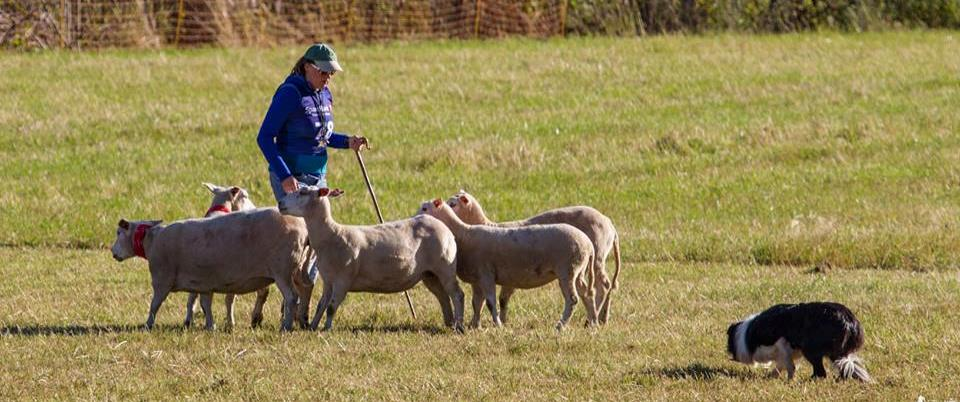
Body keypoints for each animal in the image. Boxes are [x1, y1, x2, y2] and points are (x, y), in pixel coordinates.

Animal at [110, 207, 312, 330]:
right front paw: (210, 326)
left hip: (283, 269)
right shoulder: (203, 282)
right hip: (297, 268)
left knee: (291, 297)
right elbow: (205, 304)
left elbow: (154, 304)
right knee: (306, 289)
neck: (150, 241)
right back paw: (302, 320)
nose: (113, 252)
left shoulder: (162, 279)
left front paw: (148, 325)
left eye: (119, 233)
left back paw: (286, 326)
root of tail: (304, 229)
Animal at [278, 187, 464, 332]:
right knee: (443, 296)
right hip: (429, 274)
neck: (331, 235)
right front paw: (313, 327)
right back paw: (449, 322)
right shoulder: (328, 280)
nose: (280, 203)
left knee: (457, 294)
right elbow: (321, 305)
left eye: (303, 191)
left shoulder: (343, 279)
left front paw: (327, 329)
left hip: (445, 267)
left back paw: (459, 326)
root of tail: (444, 228)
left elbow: (331, 307)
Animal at [418, 199, 596, 330]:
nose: (415, 218)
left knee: (572, 299)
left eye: (425, 208)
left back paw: (560, 326)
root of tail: (588, 244)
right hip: (578, 271)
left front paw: (497, 325)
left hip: (567, 270)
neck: (464, 234)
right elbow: (476, 303)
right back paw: (592, 323)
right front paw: (475, 325)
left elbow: (490, 302)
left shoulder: (486, 274)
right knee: (587, 294)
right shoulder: (477, 279)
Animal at [444, 190, 624, 326]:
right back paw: (601, 318)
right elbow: (493, 300)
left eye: (453, 204)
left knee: (603, 285)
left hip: (597, 254)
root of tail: (610, 224)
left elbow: (500, 299)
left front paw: (500, 321)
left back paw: (594, 317)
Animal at [728, 304, 872, 382]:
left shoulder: (782, 345)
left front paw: (789, 381)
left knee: (821, 372)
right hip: (838, 354)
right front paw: (771, 376)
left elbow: (790, 367)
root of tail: (851, 322)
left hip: (811, 350)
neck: (748, 334)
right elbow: (780, 366)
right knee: (846, 368)